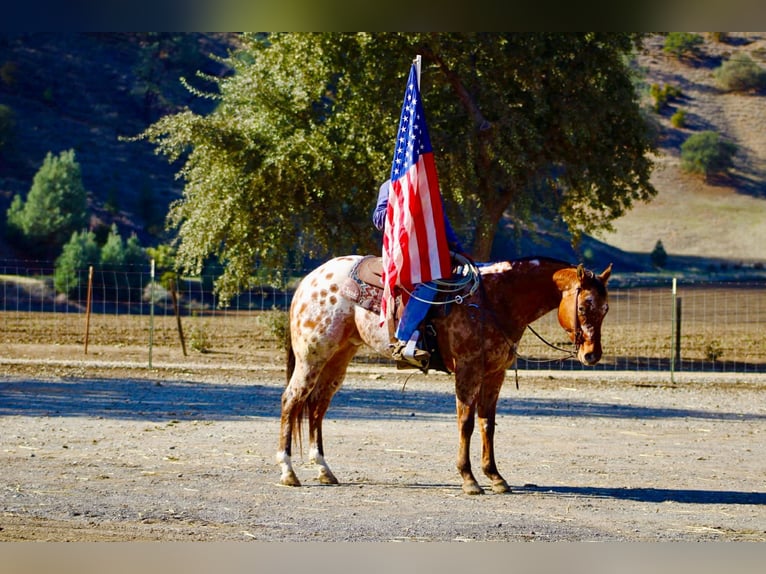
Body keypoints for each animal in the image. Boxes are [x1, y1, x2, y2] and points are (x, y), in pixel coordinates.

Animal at [277, 255, 612, 494]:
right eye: (584, 306)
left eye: (606, 309)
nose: (591, 355)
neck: (494, 300)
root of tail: (311, 279)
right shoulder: (467, 369)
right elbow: (466, 423)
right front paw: (468, 479)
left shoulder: (495, 374)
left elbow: (487, 423)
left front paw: (495, 477)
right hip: (311, 357)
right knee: (291, 401)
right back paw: (288, 471)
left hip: (339, 357)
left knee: (317, 406)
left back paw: (324, 470)